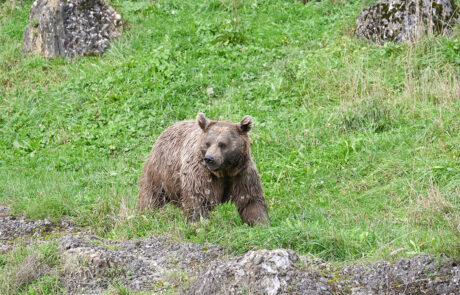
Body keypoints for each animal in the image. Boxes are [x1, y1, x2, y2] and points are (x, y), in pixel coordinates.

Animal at [138, 113, 272, 227]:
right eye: (208, 143)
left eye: (222, 144)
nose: (209, 158)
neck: (224, 171)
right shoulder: (201, 174)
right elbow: (199, 199)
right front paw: (199, 223)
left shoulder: (241, 174)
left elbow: (250, 201)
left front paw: (261, 223)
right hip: (160, 172)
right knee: (152, 196)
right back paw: (148, 214)